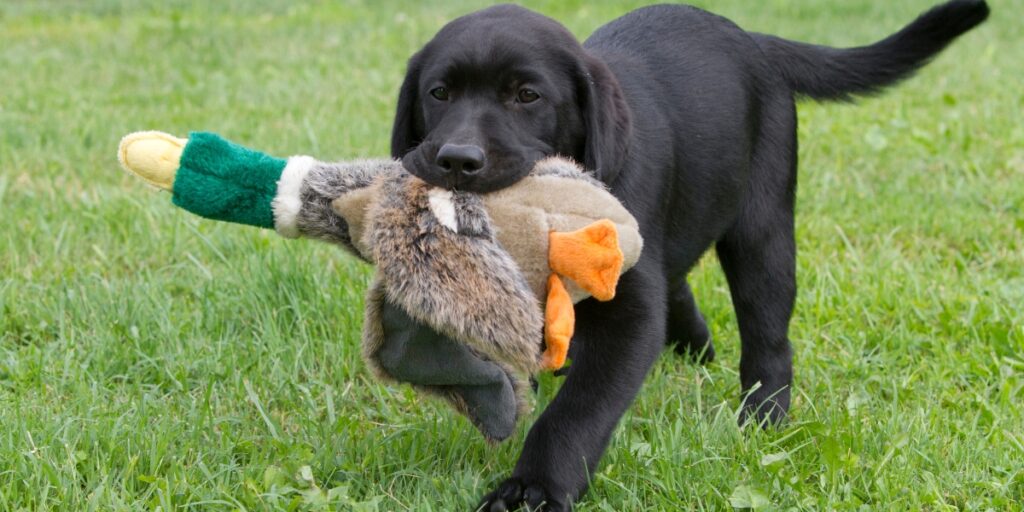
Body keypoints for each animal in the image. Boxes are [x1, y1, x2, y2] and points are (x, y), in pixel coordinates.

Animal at [389, 2, 983, 509]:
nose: (458, 159)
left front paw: (534, 488)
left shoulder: (631, 311)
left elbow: (578, 411)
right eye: (438, 93)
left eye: (527, 96)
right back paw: (696, 345)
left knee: (768, 336)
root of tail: (755, 41)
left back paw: (763, 419)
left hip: (762, 230)